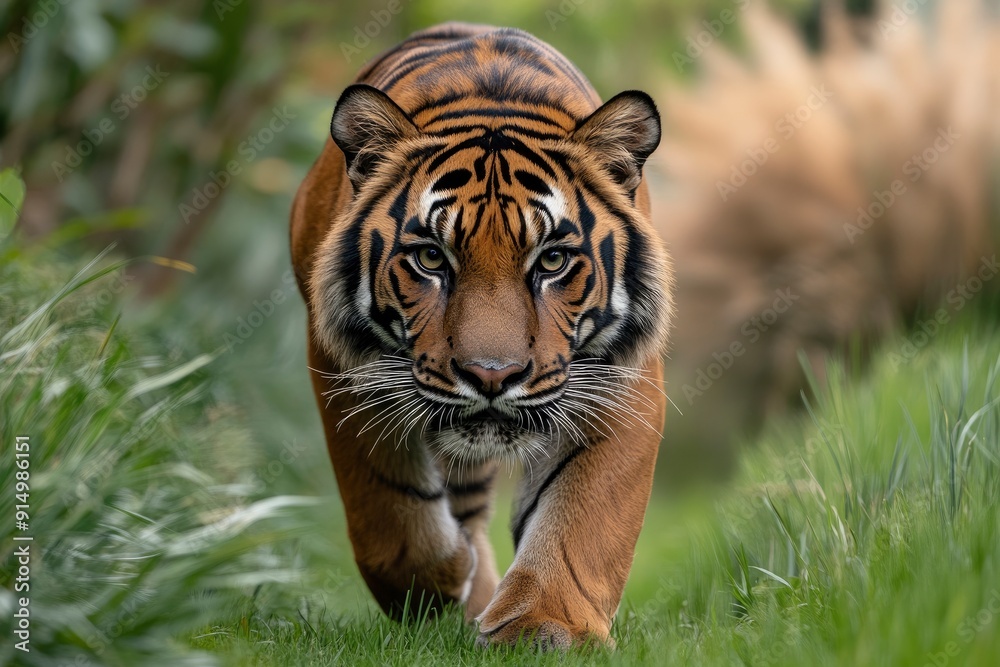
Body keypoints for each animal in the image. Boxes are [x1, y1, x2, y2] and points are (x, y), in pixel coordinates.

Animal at [290, 22, 673, 648]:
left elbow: (584, 510)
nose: (492, 376)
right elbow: (385, 503)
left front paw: (546, 625)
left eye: (552, 261)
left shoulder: (621, 375)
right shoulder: (341, 362)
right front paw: (436, 582)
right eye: (429, 258)